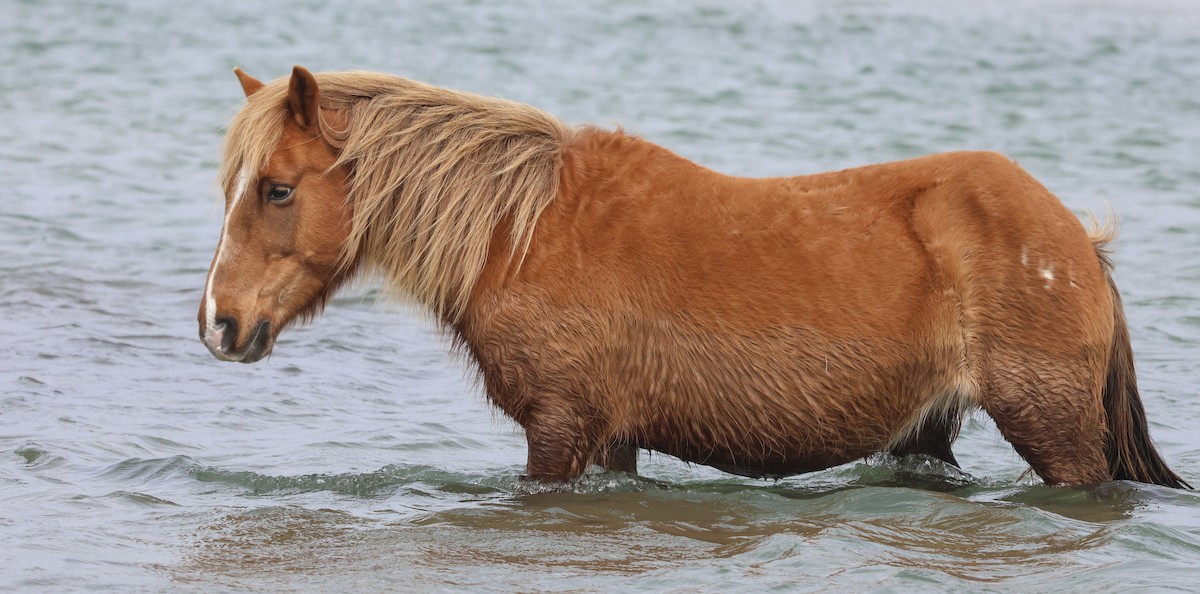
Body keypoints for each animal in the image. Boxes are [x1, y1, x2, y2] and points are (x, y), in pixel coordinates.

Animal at [198, 65, 1189, 489]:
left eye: (278, 188)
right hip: (928, 432)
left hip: (1054, 434)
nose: (219, 323)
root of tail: (1075, 239)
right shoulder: (609, 438)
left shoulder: (560, 430)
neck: (519, 230)